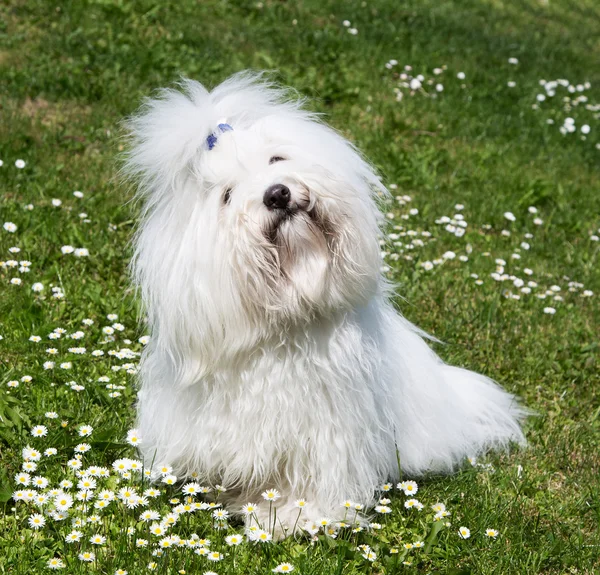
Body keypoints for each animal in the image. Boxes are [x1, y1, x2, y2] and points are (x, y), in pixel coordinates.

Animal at [125, 72, 524, 536]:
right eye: (227, 195)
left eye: (277, 158)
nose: (276, 194)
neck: (291, 314)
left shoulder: (329, 428)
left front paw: (296, 516)